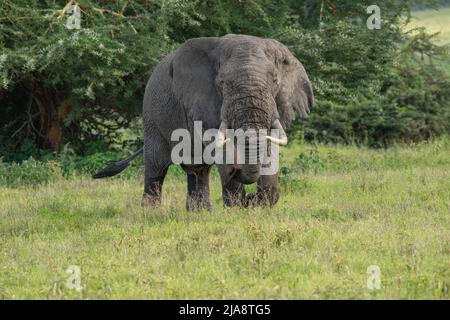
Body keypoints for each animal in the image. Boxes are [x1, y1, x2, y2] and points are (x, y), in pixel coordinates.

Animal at [94, 34, 312, 210]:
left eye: (275, 81)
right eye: (222, 83)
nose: (250, 198)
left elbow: (269, 146)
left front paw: (256, 204)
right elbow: (221, 147)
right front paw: (237, 209)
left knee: (198, 169)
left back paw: (199, 212)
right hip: (151, 114)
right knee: (157, 165)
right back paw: (150, 212)